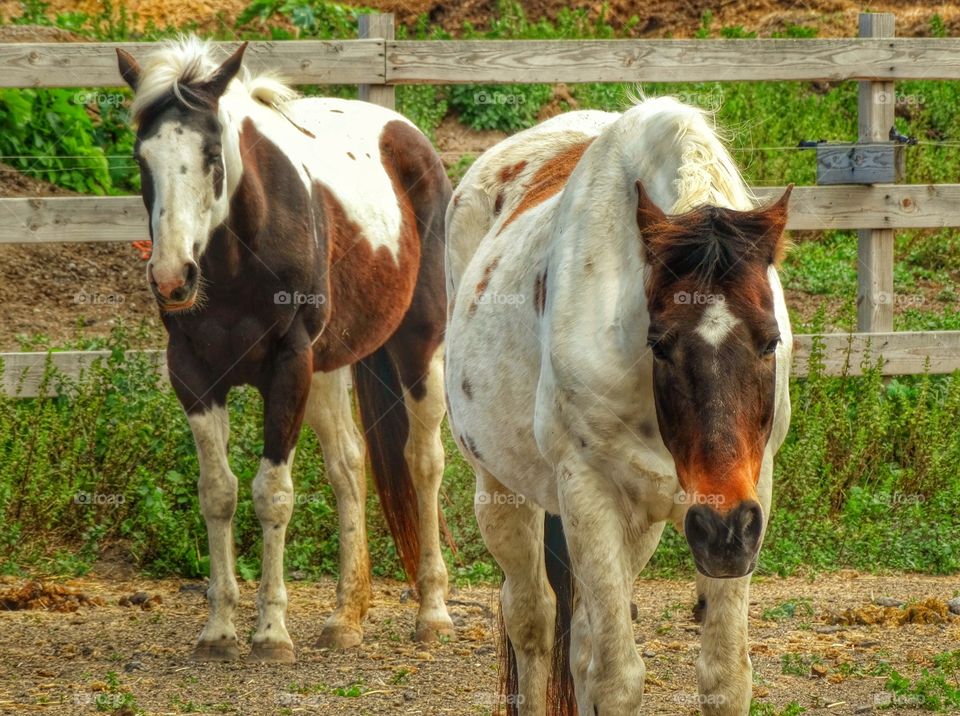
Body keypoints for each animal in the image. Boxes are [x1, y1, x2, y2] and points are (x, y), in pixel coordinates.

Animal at [115, 39, 454, 664]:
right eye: (142, 158)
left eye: (211, 154)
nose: (172, 279)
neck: (235, 258)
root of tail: (406, 134)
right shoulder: (193, 373)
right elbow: (218, 493)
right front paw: (219, 629)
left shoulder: (288, 367)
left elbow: (272, 494)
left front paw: (271, 631)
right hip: (328, 367)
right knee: (349, 464)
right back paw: (346, 618)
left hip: (419, 343)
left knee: (424, 461)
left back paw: (433, 612)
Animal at [446, 96, 792, 716]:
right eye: (661, 343)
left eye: (770, 340)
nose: (723, 529)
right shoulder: (589, 491)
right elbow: (614, 679)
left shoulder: (752, 494)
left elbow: (725, 678)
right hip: (501, 491)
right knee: (532, 619)